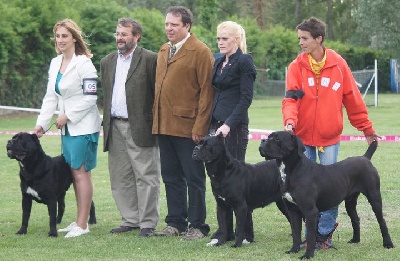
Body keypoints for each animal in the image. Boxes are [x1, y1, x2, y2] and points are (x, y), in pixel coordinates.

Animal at [260, 130, 394, 258]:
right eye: (269, 136)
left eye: (277, 139)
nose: (262, 141)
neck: (291, 170)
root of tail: (365, 158)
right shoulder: (293, 210)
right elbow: (296, 233)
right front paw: (294, 250)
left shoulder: (310, 211)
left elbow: (310, 235)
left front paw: (308, 255)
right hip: (350, 201)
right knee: (355, 219)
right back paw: (355, 240)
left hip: (374, 196)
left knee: (382, 221)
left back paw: (388, 243)